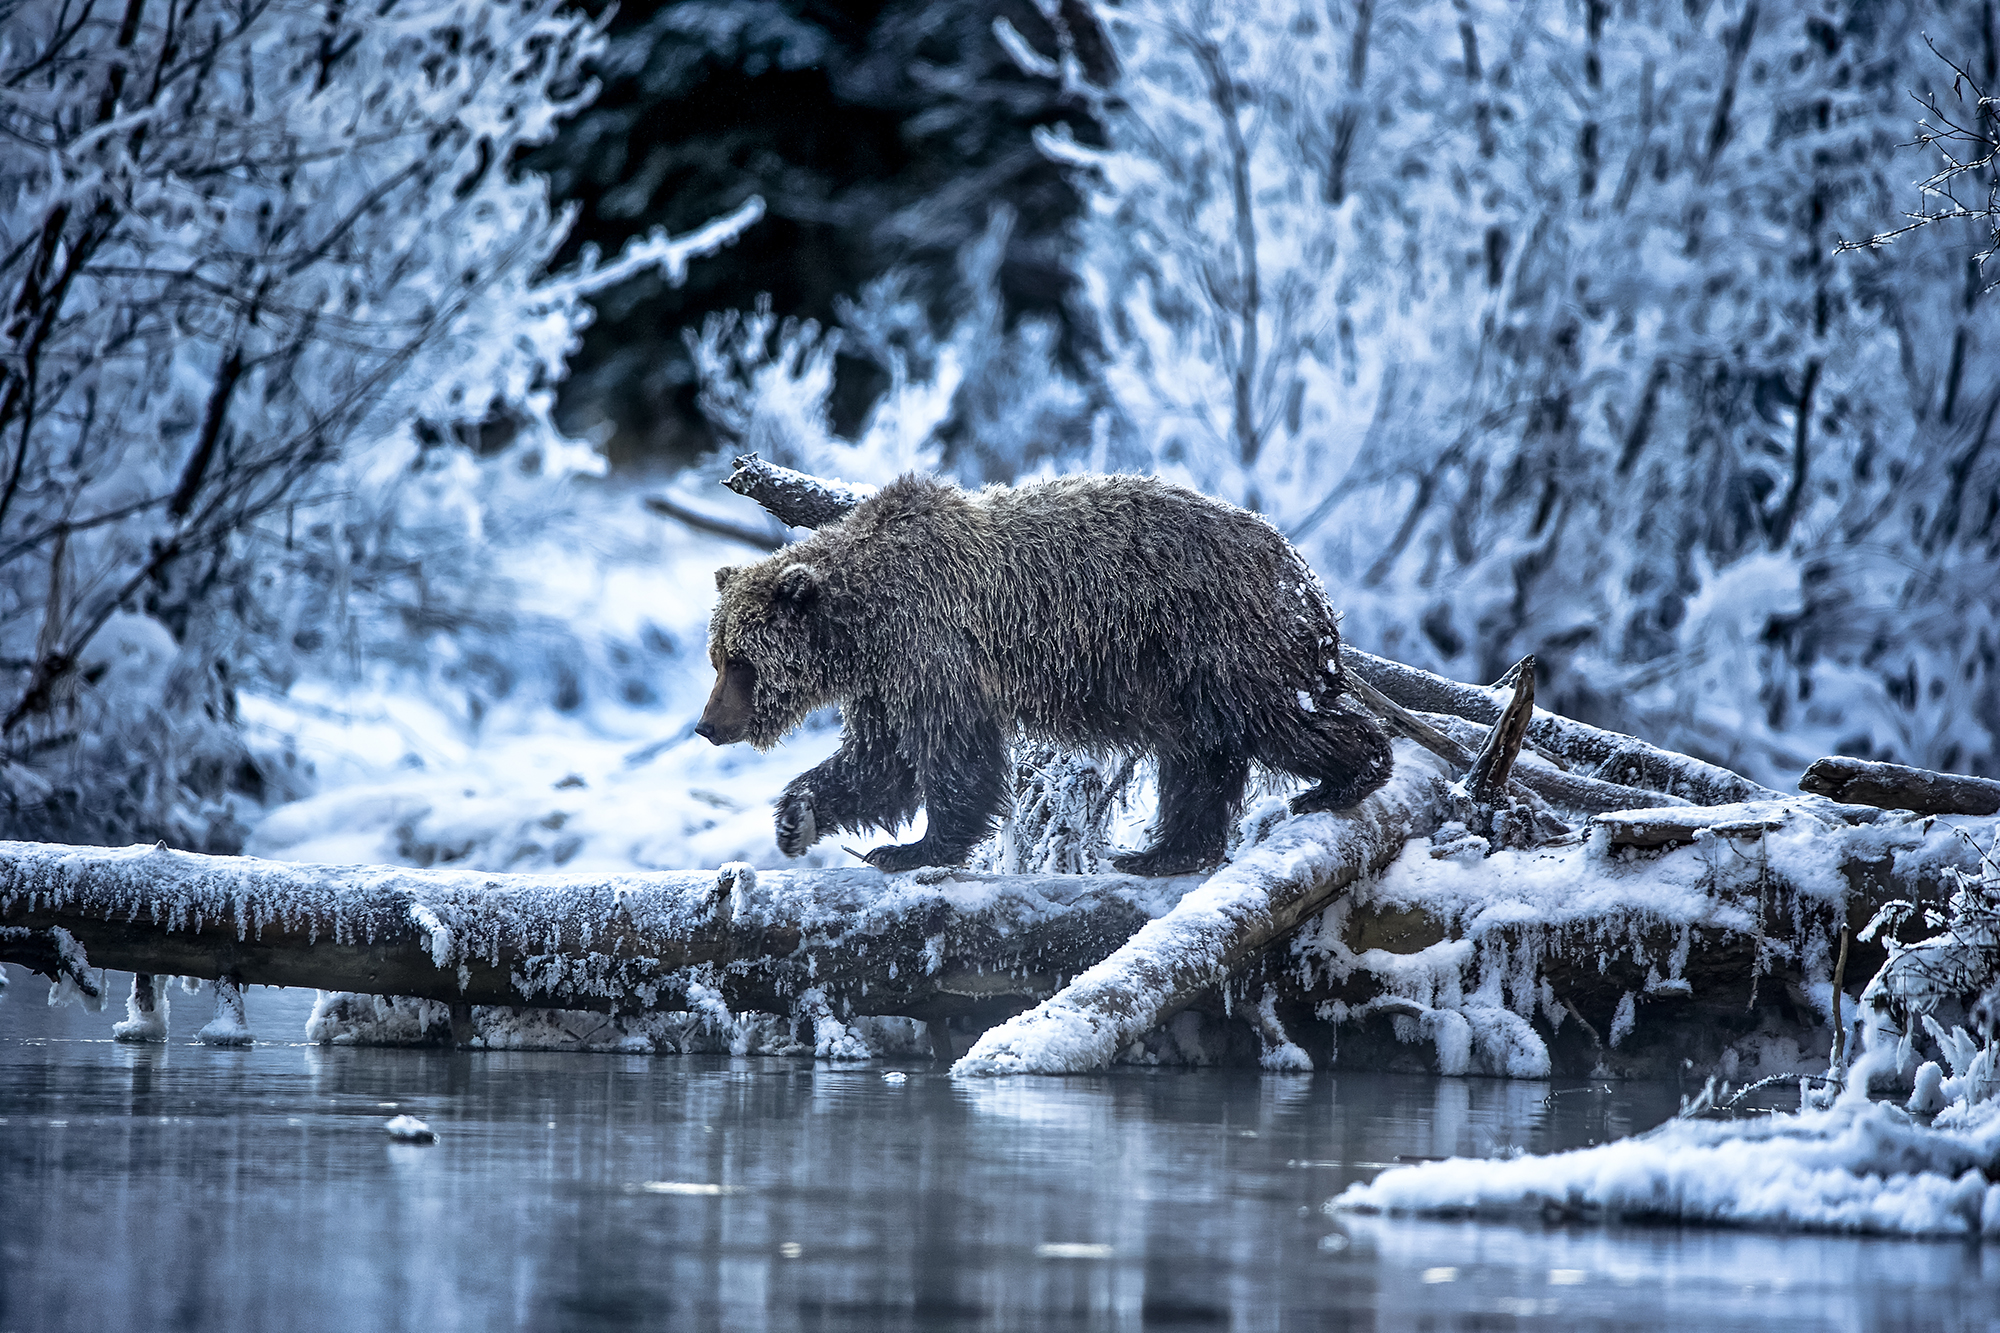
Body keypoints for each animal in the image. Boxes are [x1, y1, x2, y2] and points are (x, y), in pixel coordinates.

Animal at [700, 472, 1392, 876]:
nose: (707, 725)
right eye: (719, 656)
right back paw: (1162, 852)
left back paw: (1347, 775)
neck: (863, 624)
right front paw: (797, 817)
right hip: (1180, 675)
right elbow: (879, 762)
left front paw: (915, 847)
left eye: (741, 662)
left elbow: (954, 754)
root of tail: (1303, 573)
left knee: (1274, 720)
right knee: (1200, 757)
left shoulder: (936, 648)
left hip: (1218, 640)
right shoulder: (886, 680)